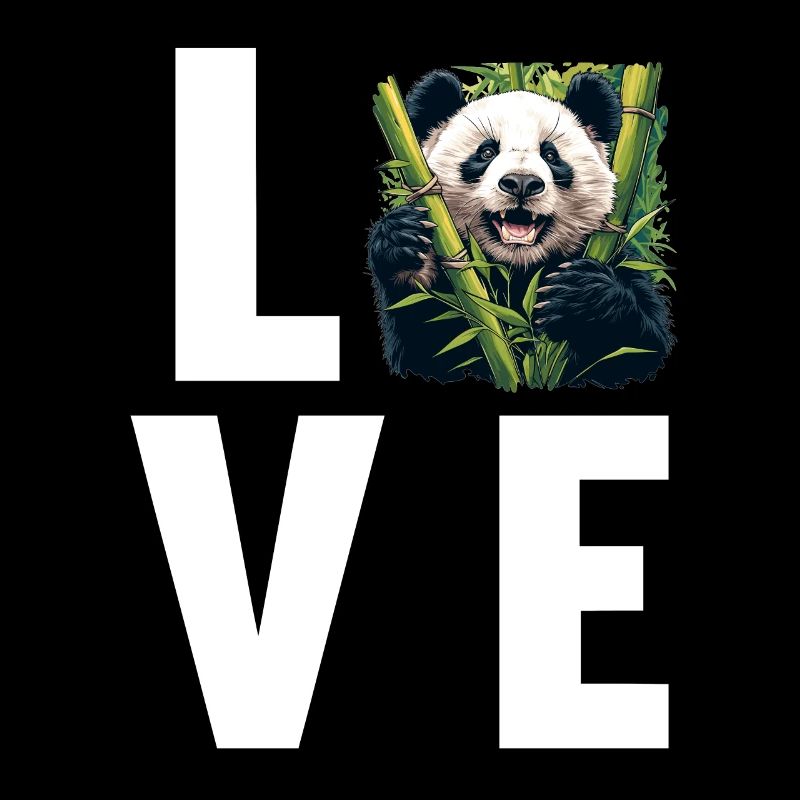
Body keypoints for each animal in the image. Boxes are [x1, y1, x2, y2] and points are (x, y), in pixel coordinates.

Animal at [367, 70, 674, 387]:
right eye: (486, 152)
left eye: (551, 156)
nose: (522, 183)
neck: (519, 268)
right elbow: (425, 345)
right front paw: (404, 244)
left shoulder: (618, 260)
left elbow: (639, 350)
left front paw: (582, 295)